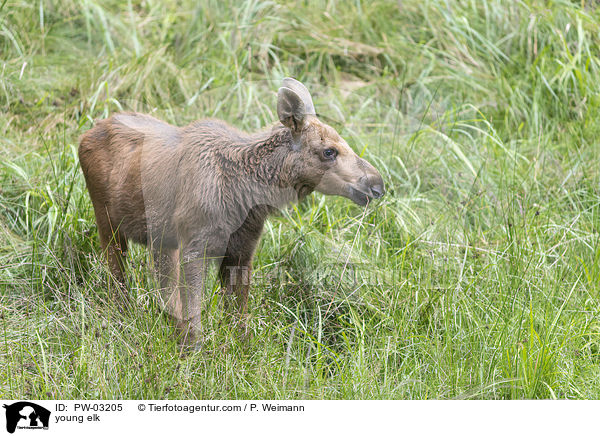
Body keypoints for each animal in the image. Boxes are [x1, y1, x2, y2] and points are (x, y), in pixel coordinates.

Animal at [78, 78, 384, 340]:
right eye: (329, 151)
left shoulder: (241, 251)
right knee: (118, 280)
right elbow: (196, 319)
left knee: (165, 293)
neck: (244, 193)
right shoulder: (195, 247)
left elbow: (238, 319)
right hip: (108, 224)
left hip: (162, 241)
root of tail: (86, 134)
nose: (377, 184)